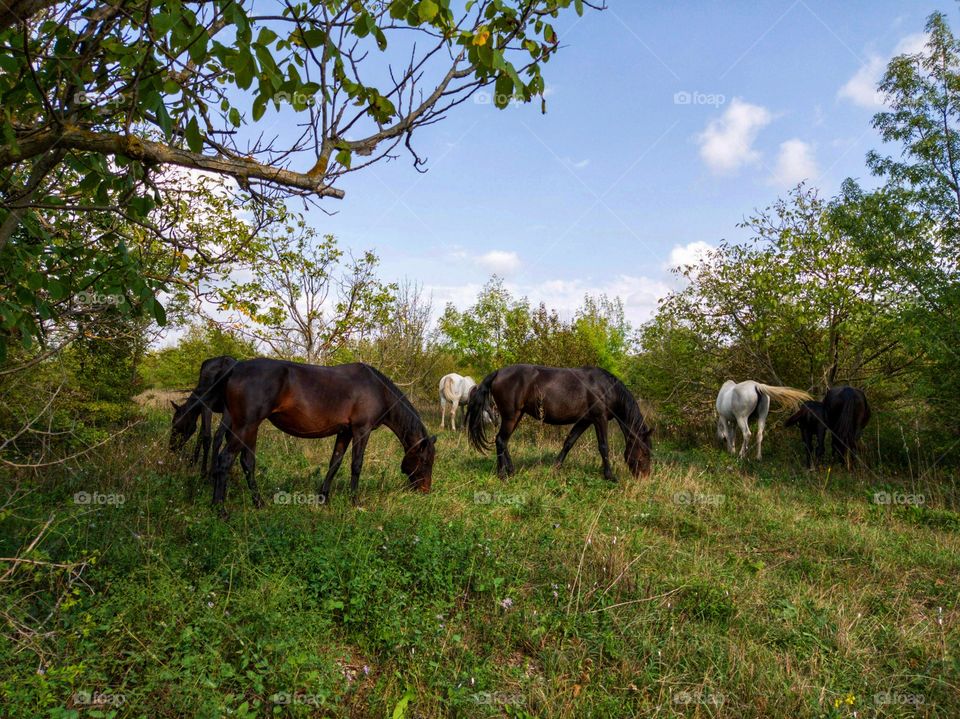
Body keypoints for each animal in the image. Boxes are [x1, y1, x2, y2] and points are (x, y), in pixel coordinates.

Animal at [211, 360, 438, 512]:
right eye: (425, 461)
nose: (426, 490)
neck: (378, 390)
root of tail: (234, 369)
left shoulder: (345, 432)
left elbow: (334, 463)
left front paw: (323, 499)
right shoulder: (361, 430)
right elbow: (356, 465)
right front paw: (355, 501)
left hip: (249, 428)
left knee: (247, 462)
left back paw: (258, 503)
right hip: (245, 427)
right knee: (225, 459)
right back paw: (220, 509)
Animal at [464, 366, 652, 484]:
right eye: (644, 452)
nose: (645, 478)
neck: (605, 387)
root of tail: (498, 373)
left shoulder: (585, 420)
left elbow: (569, 442)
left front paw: (555, 468)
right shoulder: (600, 418)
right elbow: (603, 447)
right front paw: (610, 476)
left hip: (517, 415)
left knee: (503, 441)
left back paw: (510, 470)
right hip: (511, 416)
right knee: (500, 440)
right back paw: (503, 474)